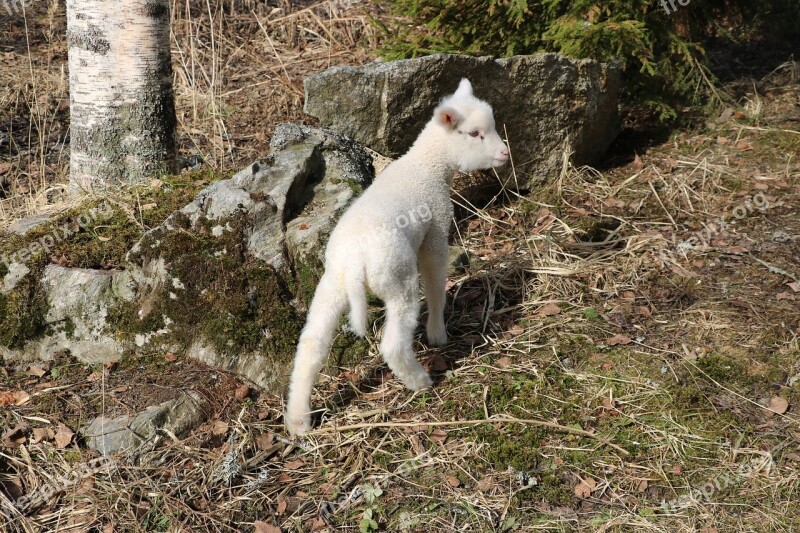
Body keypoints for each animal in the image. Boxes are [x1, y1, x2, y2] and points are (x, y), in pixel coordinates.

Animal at [284, 80, 510, 436]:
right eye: (475, 134)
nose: (504, 153)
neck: (428, 166)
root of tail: (356, 263)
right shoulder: (435, 233)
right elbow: (436, 281)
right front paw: (438, 334)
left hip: (331, 285)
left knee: (310, 345)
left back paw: (298, 420)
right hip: (397, 278)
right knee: (392, 343)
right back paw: (421, 381)